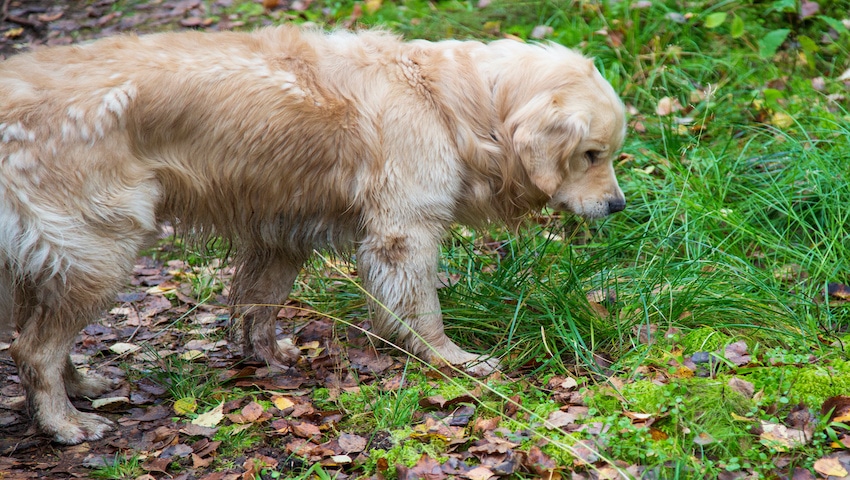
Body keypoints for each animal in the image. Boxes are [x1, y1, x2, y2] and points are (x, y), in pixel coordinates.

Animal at [0, 24, 624, 440]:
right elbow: (422, 311)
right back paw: (64, 424)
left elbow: (259, 303)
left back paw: (81, 388)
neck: (452, 102)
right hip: (100, 249)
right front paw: (452, 361)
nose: (618, 205)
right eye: (591, 155)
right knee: (33, 348)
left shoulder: (282, 232)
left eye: (609, 154)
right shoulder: (406, 231)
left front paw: (266, 358)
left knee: (36, 336)